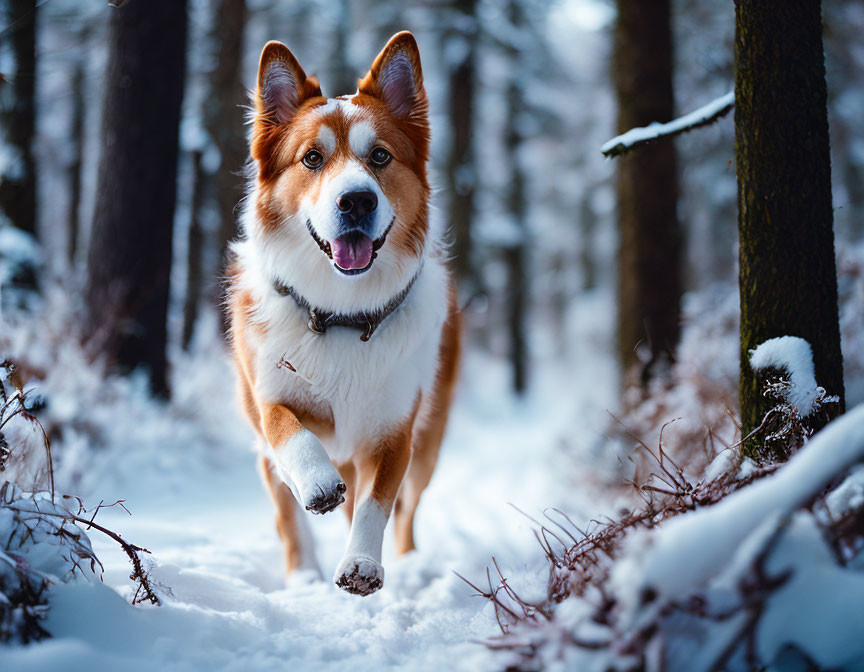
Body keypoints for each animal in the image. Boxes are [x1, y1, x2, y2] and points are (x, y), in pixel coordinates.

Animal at [228, 34, 460, 596]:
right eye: (312, 158)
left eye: (379, 156)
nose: (355, 201)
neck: (342, 316)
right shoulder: (266, 396)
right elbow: (289, 430)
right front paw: (316, 483)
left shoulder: (395, 432)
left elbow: (377, 503)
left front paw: (362, 565)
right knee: (287, 510)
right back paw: (304, 573)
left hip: (431, 439)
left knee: (407, 508)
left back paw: (408, 563)